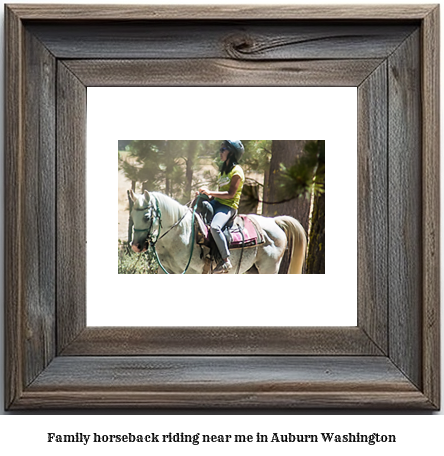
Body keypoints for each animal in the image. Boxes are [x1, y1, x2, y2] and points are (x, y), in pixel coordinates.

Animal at [130, 190, 306, 274]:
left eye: (146, 217)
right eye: (132, 216)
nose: (136, 246)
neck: (181, 234)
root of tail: (274, 221)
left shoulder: (193, 272)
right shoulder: (165, 270)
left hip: (269, 269)